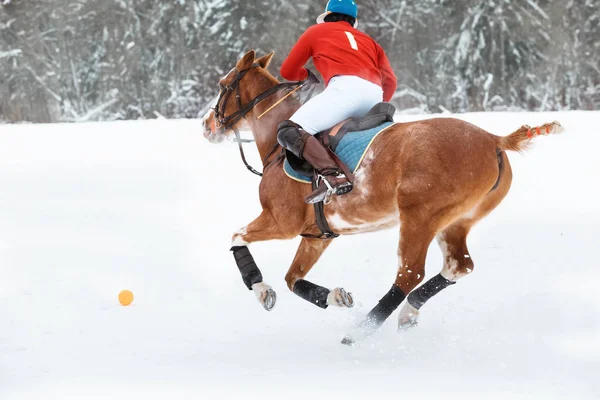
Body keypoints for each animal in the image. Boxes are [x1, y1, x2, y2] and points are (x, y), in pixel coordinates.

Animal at [202, 50, 564, 344]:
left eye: (223, 85)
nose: (207, 126)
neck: (276, 150)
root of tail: (494, 140)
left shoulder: (281, 221)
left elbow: (237, 237)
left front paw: (261, 290)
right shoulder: (316, 236)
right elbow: (293, 279)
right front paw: (336, 297)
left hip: (419, 216)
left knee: (410, 273)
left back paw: (360, 331)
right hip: (457, 221)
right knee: (459, 266)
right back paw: (407, 314)